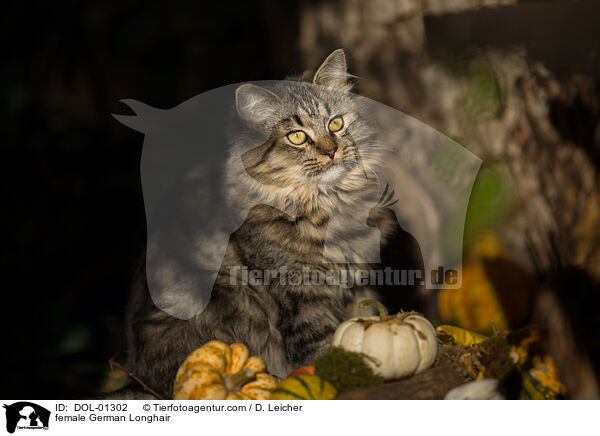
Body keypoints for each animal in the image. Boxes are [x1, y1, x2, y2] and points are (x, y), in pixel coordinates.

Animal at [113, 50, 422, 398]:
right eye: (297, 137)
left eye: (336, 123)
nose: (331, 151)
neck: (327, 206)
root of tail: (138, 379)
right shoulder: (299, 292)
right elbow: (321, 346)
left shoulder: (355, 285)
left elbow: (360, 319)